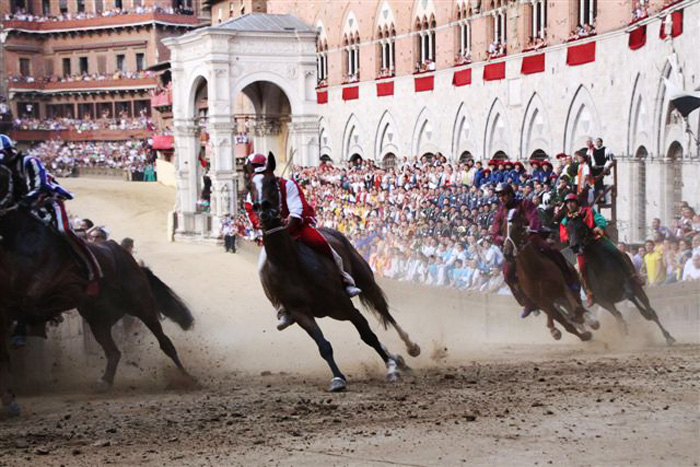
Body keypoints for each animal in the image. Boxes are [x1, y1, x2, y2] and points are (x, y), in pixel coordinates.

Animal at [0, 165, 194, 416]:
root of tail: (130, 260)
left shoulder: (51, 287)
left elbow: (29, 302)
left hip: (142, 306)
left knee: (165, 343)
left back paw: (187, 377)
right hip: (98, 319)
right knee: (114, 351)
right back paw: (104, 381)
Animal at [247, 155, 418, 394]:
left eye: (272, 183)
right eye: (250, 187)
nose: (263, 211)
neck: (291, 265)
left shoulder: (343, 303)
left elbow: (368, 335)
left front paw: (391, 368)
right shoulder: (301, 312)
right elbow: (323, 345)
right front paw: (338, 378)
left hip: (362, 282)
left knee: (384, 312)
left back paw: (409, 348)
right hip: (331, 311)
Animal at [504, 211, 596, 340]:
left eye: (517, 228)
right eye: (503, 230)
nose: (506, 253)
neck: (534, 270)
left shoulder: (561, 286)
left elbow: (575, 308)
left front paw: (583, 320)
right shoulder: (541, 301)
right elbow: (564, 323)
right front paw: (556, 331)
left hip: (570, 288)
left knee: (577, 303)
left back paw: (590, 321)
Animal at [560, 218, 676, 346]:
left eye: (581, 227)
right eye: (567, 230)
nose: (574, 246)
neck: (601, 267)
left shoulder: (627, 285)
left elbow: (632, 298)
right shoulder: (603, 300)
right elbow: (618, 315)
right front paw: (624, 330)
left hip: (637, 288)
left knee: (649, 309)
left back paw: (668, 336)